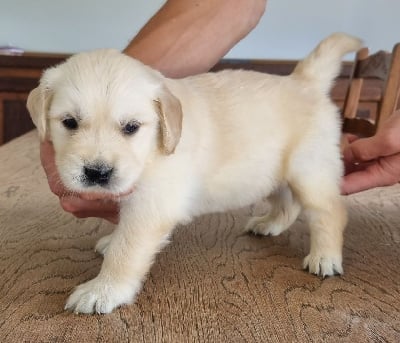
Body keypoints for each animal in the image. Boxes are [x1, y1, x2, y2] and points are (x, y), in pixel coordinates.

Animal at [26, 32, 360, 314]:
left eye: (131, 127)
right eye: (69, 122)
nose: (97, 173)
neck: (152, 151)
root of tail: (305, 82)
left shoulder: (152, 204)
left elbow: (127, 249)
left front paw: (103, 290)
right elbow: (121, 234)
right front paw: (110, 242)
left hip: (310, 169)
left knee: (330, 211)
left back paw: (325, 257)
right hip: (275, 172)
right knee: (288, 204)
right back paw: (270, 224)